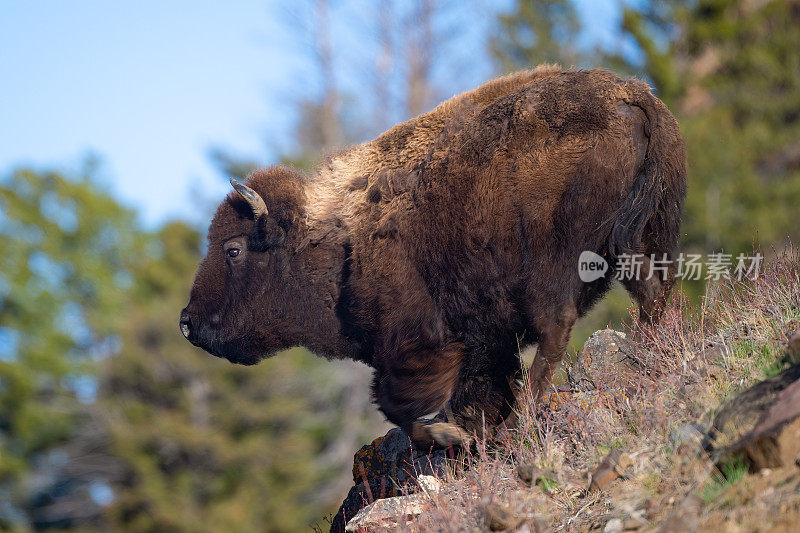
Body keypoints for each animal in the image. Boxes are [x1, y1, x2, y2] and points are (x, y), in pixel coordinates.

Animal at [181, 67, 688, 444]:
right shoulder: (480, 341)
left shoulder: (419, 340)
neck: (335, 237)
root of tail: (631, 95)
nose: (187, 323)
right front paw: (467, 437)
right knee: (651, 294)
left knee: (558, 328)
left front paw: (453, 437)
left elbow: (399, 404)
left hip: (559, 266)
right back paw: (649, 353)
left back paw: (521, 423)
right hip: (632, 244)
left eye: (233, 249)